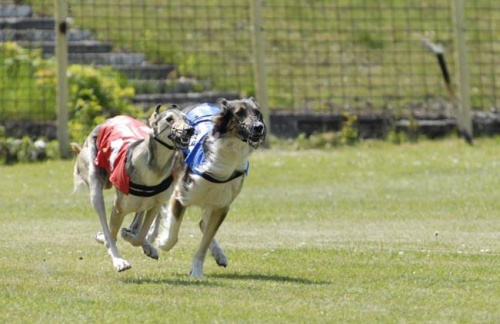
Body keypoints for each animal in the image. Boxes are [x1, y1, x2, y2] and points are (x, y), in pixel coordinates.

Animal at [71, 105, 192, 272]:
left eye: (186, 119)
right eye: (169, 119)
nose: (190, 130)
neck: (153, 167)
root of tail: (108, 120)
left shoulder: (155, 205)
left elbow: (139, 235)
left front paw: (131, 237)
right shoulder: (118, 209)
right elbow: (110, 236)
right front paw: (119, 260)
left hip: (144, 203)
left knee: (136, 224)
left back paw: (141, 241)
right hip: (95, 185)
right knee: (104, 218)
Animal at [149, 97, 266, 278]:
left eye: (257, 113)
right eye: (239, 113)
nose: (259, 127)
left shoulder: (221, 206)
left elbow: (204, 242)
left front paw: (197, 272)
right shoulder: (180, 195)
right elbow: (172, 235)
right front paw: (161, 242)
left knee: (202, 224)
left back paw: (219, 255)